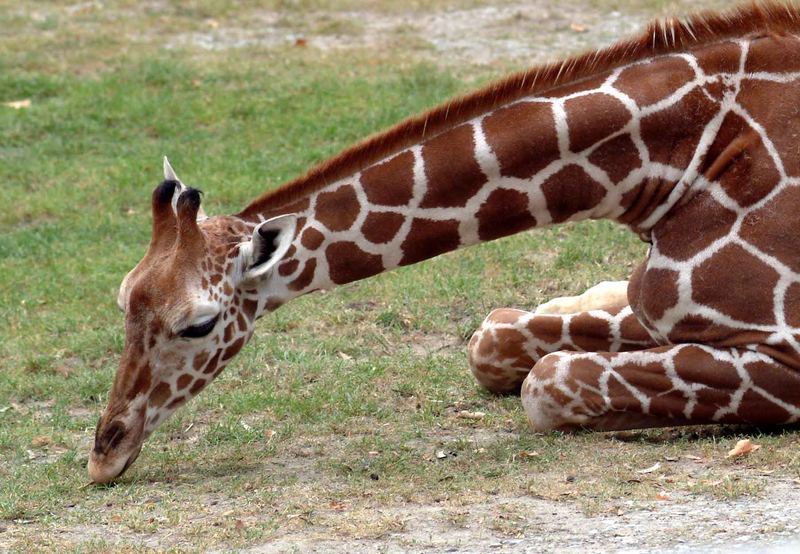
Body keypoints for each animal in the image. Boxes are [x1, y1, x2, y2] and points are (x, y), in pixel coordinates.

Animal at [89, 2, 800, 480]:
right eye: (123, 299)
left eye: (198, 325)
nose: (106, 450)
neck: (680, 162)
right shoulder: (656, 307)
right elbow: (493, 339)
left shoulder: (785, 352)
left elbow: (547, 381)